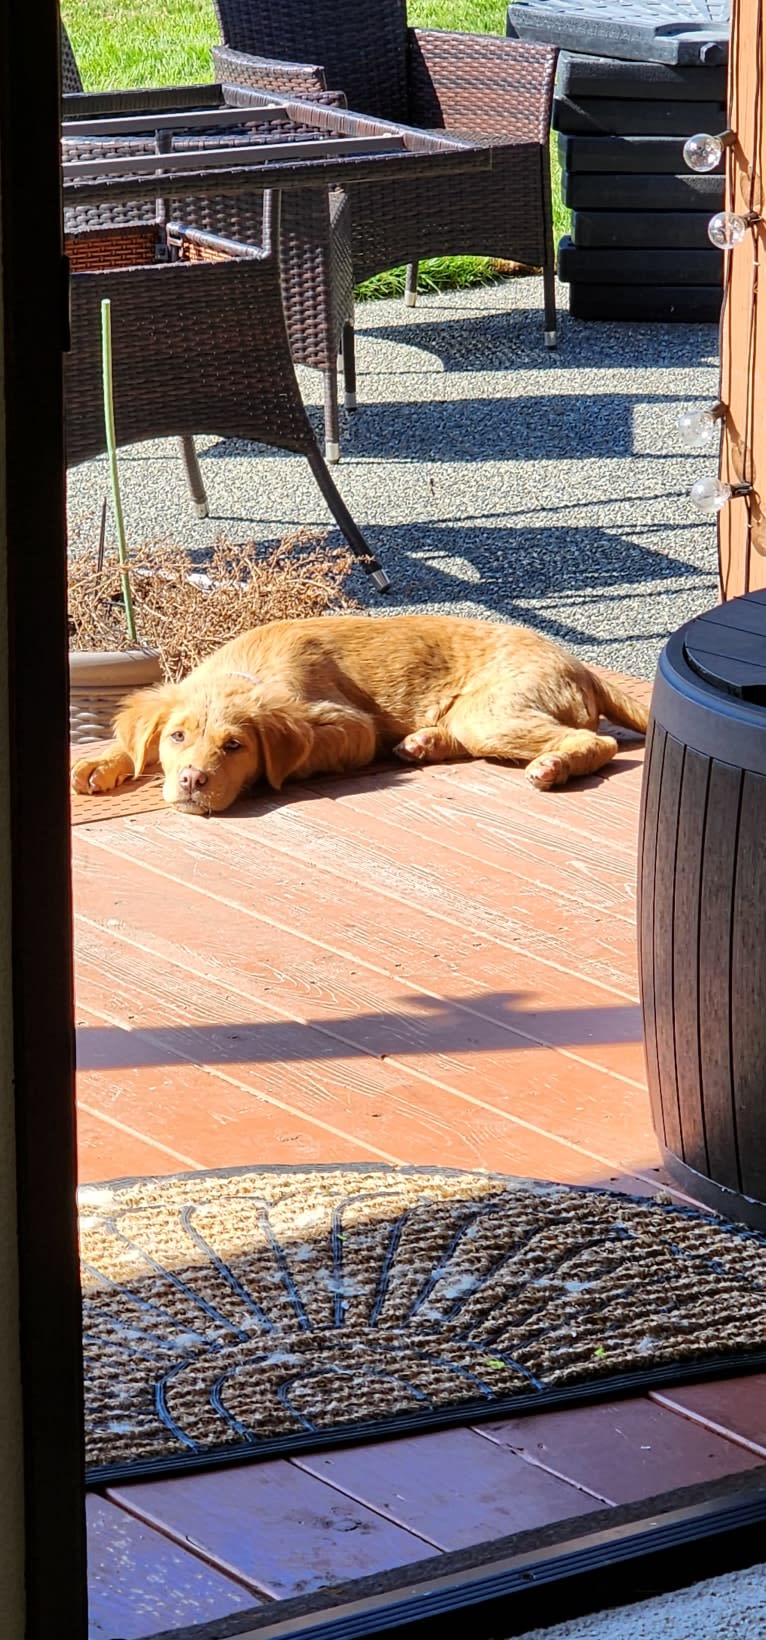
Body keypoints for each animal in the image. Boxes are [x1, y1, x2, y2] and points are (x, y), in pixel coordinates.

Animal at [70, 613, 646, 816]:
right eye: (177, 737)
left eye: (235, 746)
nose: (191, 780)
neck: (245, 669)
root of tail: (582, 666)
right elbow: (133, 742)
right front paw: (100, 762)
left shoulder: (352, 727)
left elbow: (299, 754)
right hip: (474, 715)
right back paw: (422, 742)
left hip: (491, 714)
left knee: (599, 742)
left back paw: (554, 767)